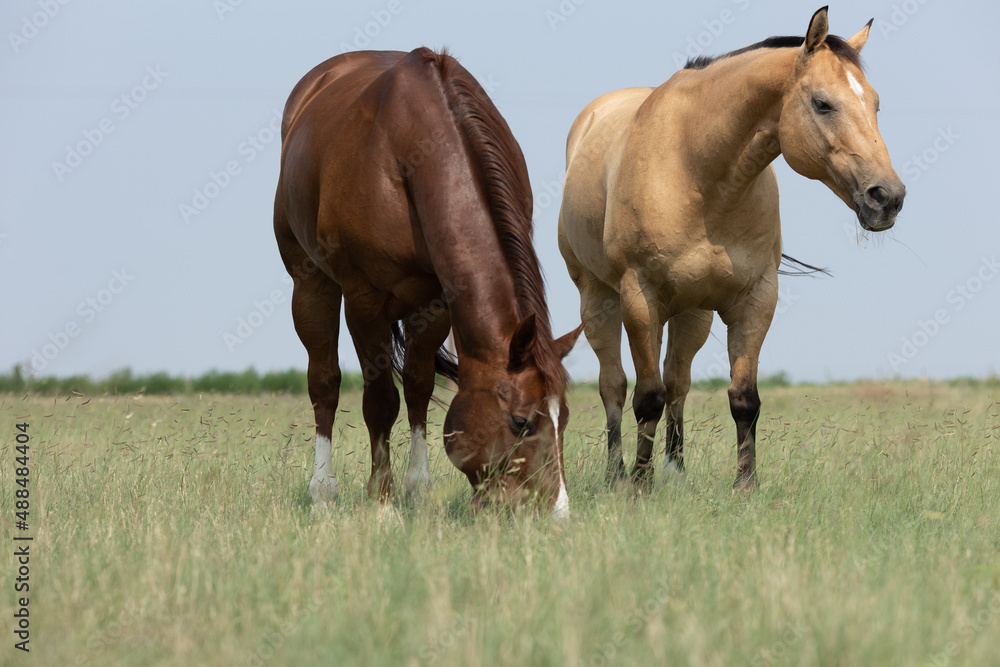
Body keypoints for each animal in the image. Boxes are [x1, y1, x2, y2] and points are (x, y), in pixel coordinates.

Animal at [274, 48, 584, 516]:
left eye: (563, 416)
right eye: (521, 422)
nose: (557, 513)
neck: (411, 155)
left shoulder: (437, 302)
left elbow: (419, 387)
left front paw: (416, 492)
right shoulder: (365, 300)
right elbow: (380, 400)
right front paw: (382, 506)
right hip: (310, 283)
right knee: (324, 382)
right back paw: (323, 493)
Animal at [560, 6, 912, 490]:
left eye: (875, 104)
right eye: (822, 103)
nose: (887, 197)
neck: (696, 170)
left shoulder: (755, 299)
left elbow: (743, 398)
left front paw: (745, 485)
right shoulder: (639, 298)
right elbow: (646, 397)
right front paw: (640, 485)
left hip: (692, 313)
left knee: (678, 382)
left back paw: (676, 470)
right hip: (598, 300)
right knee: (613, 384)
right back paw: (616, 474)